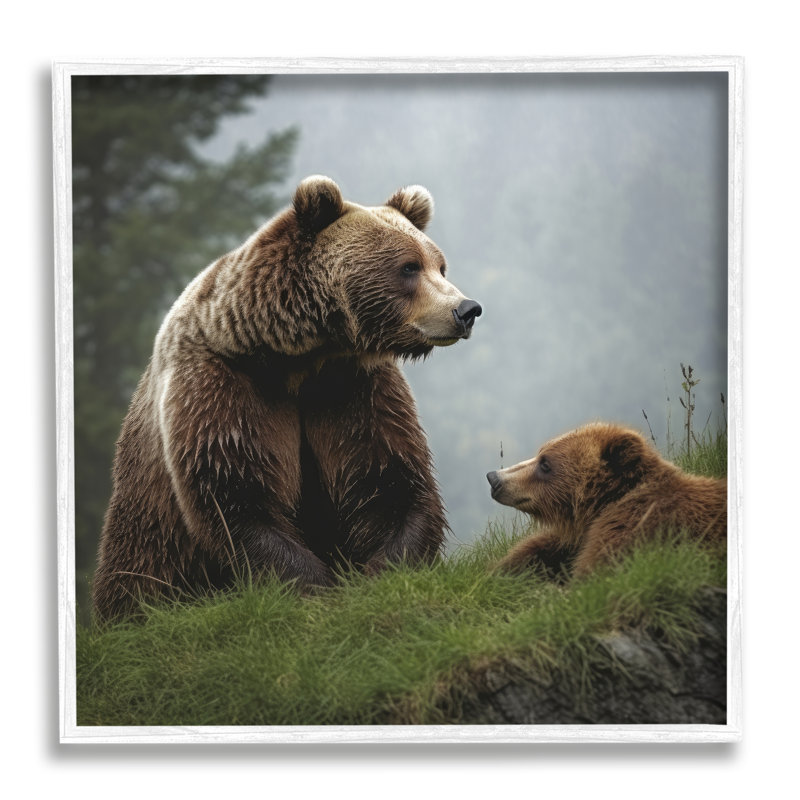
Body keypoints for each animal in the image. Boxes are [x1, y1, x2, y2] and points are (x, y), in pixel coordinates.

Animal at [92, 175, 482, 620]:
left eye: (439, 265)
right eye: (409, 267)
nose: (466, 309)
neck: (298, 356)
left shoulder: (350, 387)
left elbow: (387, 478)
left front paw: (385, 573)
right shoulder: (222, 384)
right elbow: (236, 494)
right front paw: (316, 587)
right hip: (144, 541)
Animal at [486, 422, 726, 579]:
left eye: (545, 464)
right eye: (540, 453)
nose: (494, 478)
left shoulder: (631, 528)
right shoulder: (576, 537)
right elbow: (534, 551)